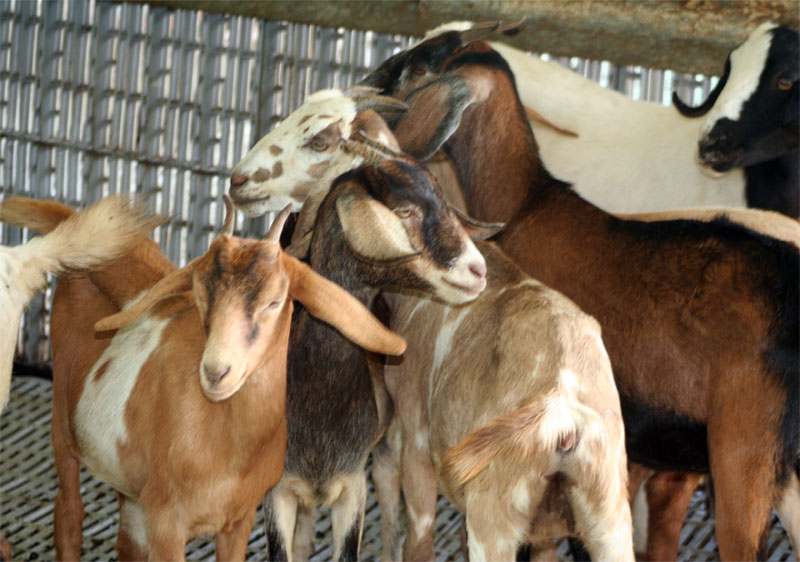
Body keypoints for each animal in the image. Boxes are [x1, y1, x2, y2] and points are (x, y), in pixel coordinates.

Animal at [1, 195, 406, 556]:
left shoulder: (240, 519)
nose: (216, 371)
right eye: (199, 293)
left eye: (275, 301)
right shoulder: (166, 521)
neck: (224, 443)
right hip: (63, 428)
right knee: (68, 515)